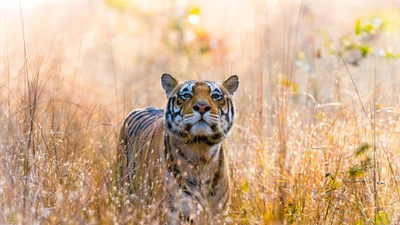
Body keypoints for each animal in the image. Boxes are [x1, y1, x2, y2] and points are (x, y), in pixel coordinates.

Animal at [117, 73, 239, 223]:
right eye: (186, 95)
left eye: (216, 96)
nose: (202, 106)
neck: (200, 153)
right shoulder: (172, 211)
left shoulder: (217, 214)